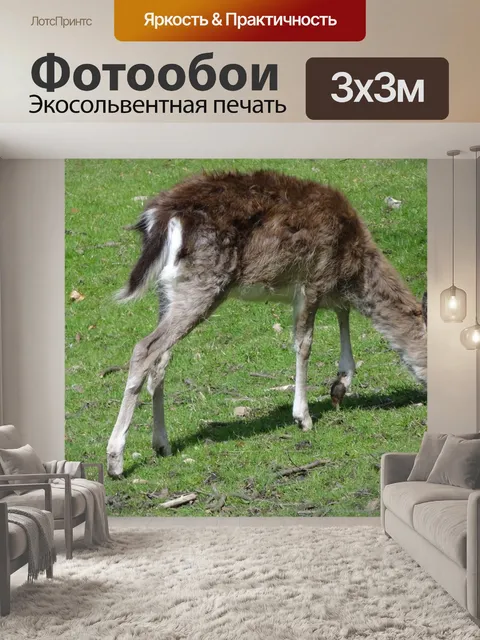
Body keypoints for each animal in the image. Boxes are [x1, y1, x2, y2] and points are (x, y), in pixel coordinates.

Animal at [106, 170, 427, 478]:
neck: (353, 264)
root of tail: (158, 217)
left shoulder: (331, 289)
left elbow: (342, 314)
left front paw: (340, 384)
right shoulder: (312, 279)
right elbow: (305, 343)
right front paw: (303, 417)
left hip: (167, 290)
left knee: (161, 359)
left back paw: (162, 444)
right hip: (202, 283)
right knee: (145, 348)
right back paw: (115, 461)